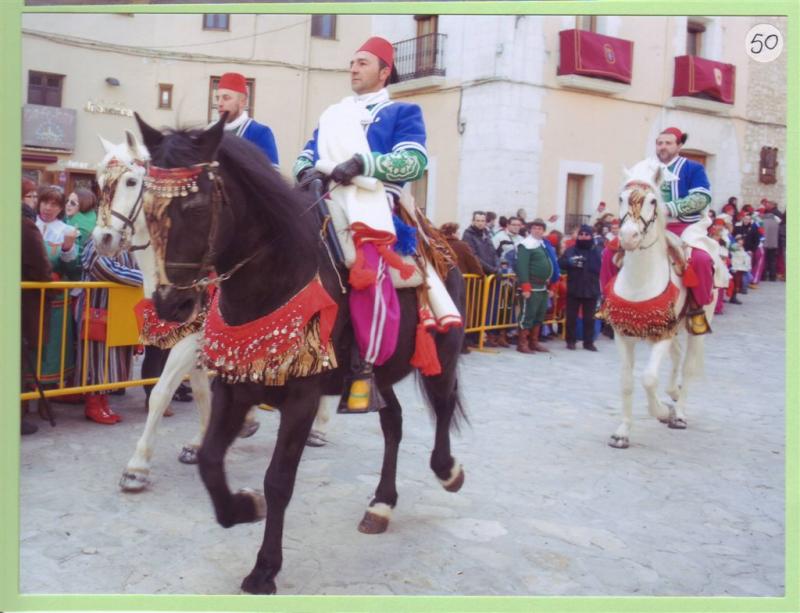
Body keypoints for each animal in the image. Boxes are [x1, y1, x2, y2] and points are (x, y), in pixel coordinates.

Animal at [94, 131, 260, 490]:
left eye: (131, 181)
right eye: (98, 183)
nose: (103, 239)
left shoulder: (192, 337)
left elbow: (161, 392)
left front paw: (137, 466)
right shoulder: (191, 334)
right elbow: (200, 390)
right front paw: (201, 443)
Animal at [134, 113, 466, 592]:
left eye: (196, 207)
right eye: (146, 207)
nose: (169, 304)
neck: (274, 276)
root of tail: (442, 247)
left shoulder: (302, 398)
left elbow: (278, 481)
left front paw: (264, 568)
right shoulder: (236, 385)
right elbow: (211, 461)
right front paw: (241, 507)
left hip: (443, 353)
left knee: (442, 406)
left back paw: (447, 472)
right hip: (380, 372)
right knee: (395, 423)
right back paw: (381, 504)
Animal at [604, 157, 716, 444]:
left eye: (653, 201)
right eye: (621, 198)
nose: (629, 237)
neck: (640, 281)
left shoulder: (662, 334)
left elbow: (648, 379)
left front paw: (663, 412)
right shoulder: (624, 333)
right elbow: (627, 382)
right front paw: (622, 432)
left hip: (696, 325)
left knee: (687, 366)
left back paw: (679, 413)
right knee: (676, 357)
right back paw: (673, 392)